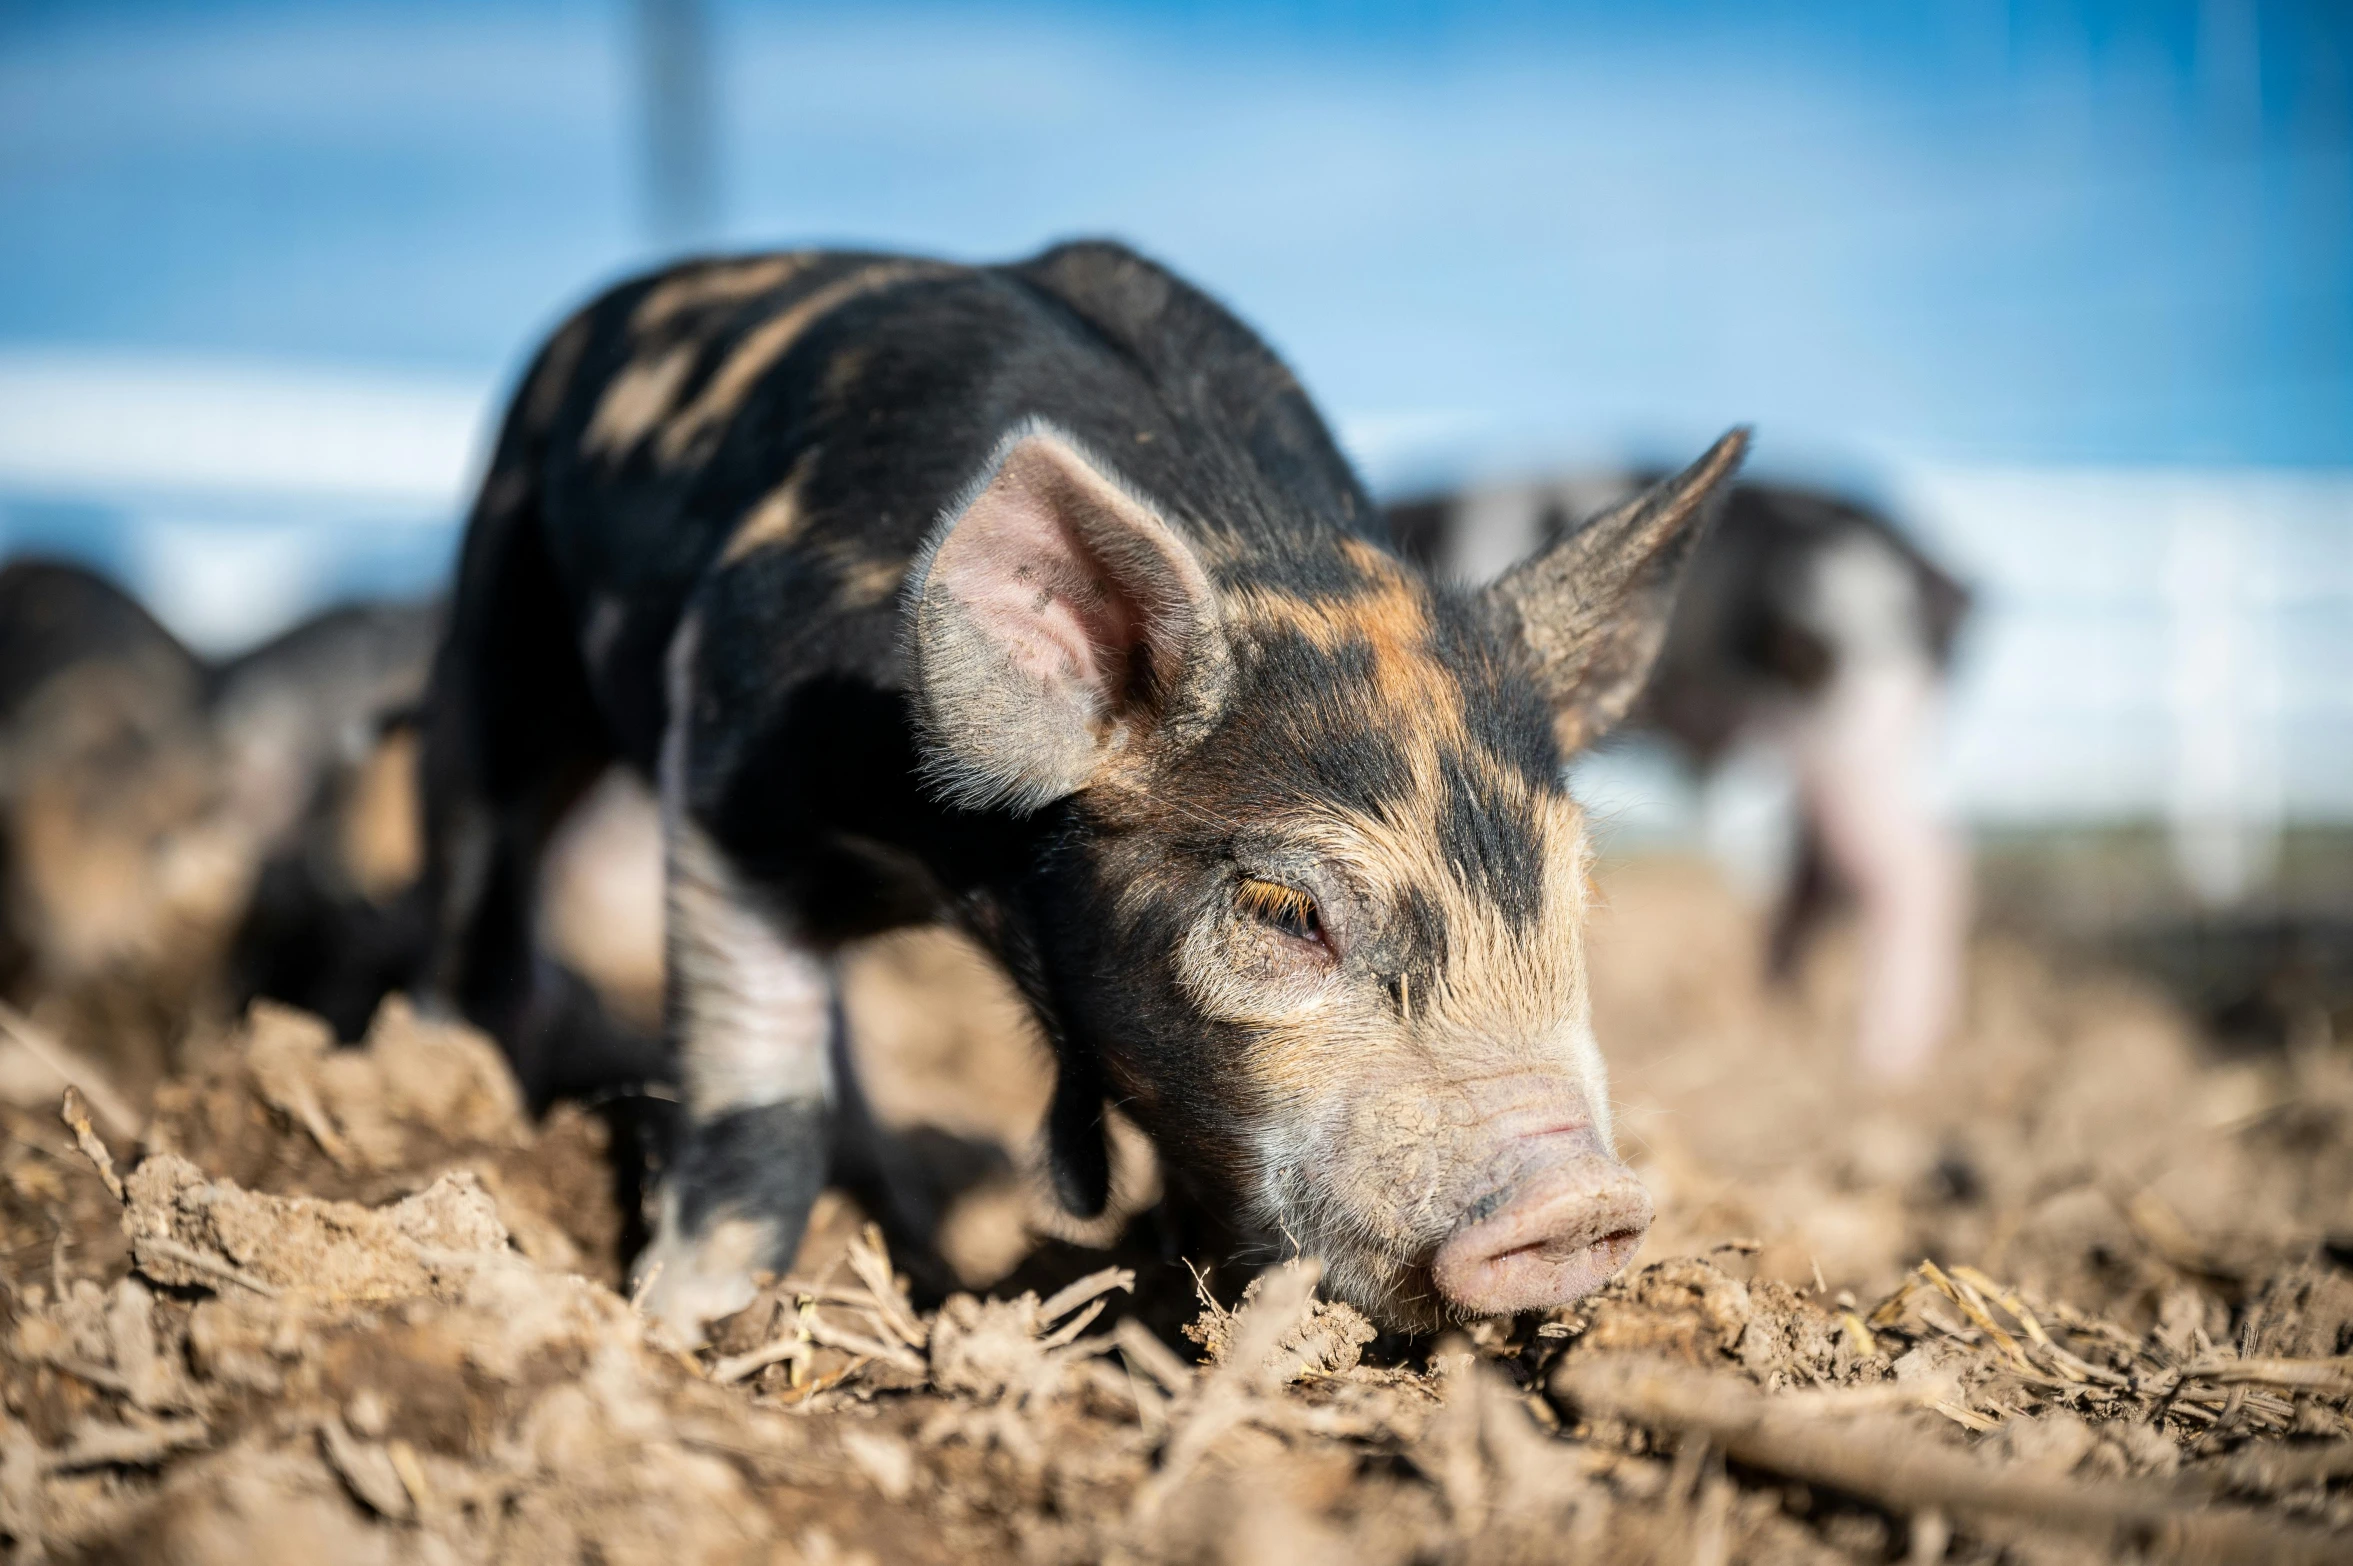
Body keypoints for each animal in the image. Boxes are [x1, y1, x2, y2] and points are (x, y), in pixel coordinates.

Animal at [418, 237, 1750, 1335]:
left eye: (1572, 896)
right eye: (1285, 910)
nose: (1581, 1203)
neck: (967, 883)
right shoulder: (727, 748)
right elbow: (759, 1084)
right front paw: (683, 1321)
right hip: (498, 612)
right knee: (481, 847)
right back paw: (448, 1067)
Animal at [1383, 474, 1976, 1081]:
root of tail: (1929, 568)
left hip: (1862, 707)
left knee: (1921, 865)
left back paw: (1884, 1059)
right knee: (1825, 872)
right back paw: (1781, 1019)